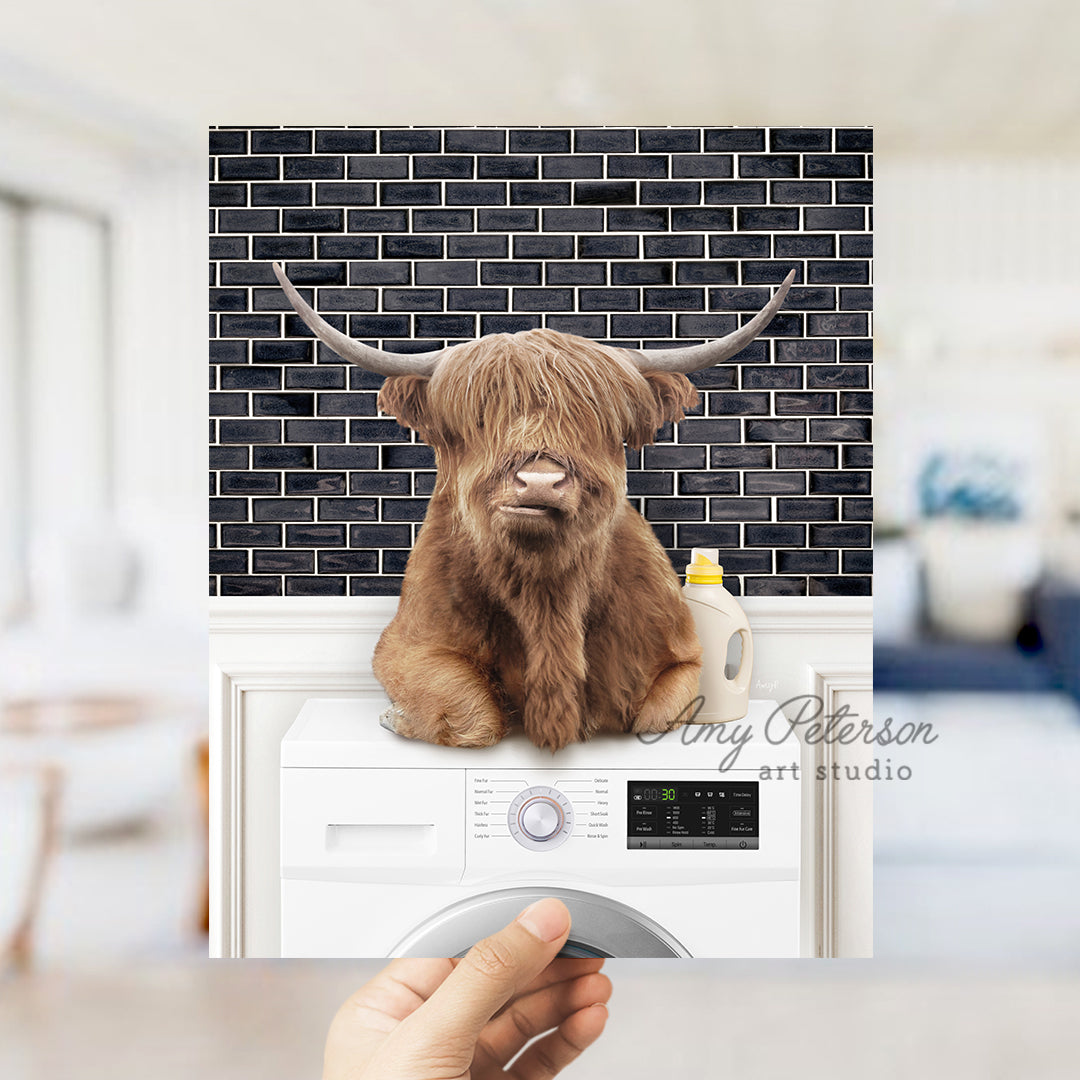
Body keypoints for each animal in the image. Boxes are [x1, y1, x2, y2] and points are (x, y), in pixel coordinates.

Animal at [272, 262, 794, 751]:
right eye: (480, 415)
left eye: (596, 417)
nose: (540, 481)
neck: (546, 594)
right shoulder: (405, 645)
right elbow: (474, 714)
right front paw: (395, 716)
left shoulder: (682, 655)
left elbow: (655, 715)